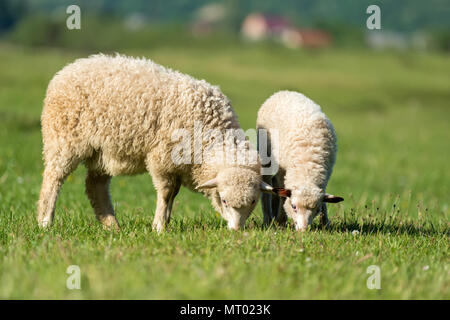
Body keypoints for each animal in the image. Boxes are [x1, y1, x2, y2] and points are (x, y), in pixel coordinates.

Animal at [37, 53, 268, 232]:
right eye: (225, 200)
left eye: (253, 201)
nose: (237, 230)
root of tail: (68, 69)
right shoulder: (162, 159)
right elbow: (166, 193)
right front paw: (159, 227)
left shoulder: (177, 165)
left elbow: (173, 194)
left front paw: (165, 221)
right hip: (64, 140)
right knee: (53, 178)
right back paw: (45, 222)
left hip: (103, 151)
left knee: (95, 187)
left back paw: (112, 226)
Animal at [256, 90, 344, 230]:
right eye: (293, 206)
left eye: (317, 209)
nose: (304, 230)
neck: (306, 167)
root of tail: (283, 91)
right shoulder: (282, 172)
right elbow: (283, 196)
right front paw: (281, 221)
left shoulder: (327, 174)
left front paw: (325, 224)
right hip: (266, 155)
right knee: (267, 186)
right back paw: (268, 219)